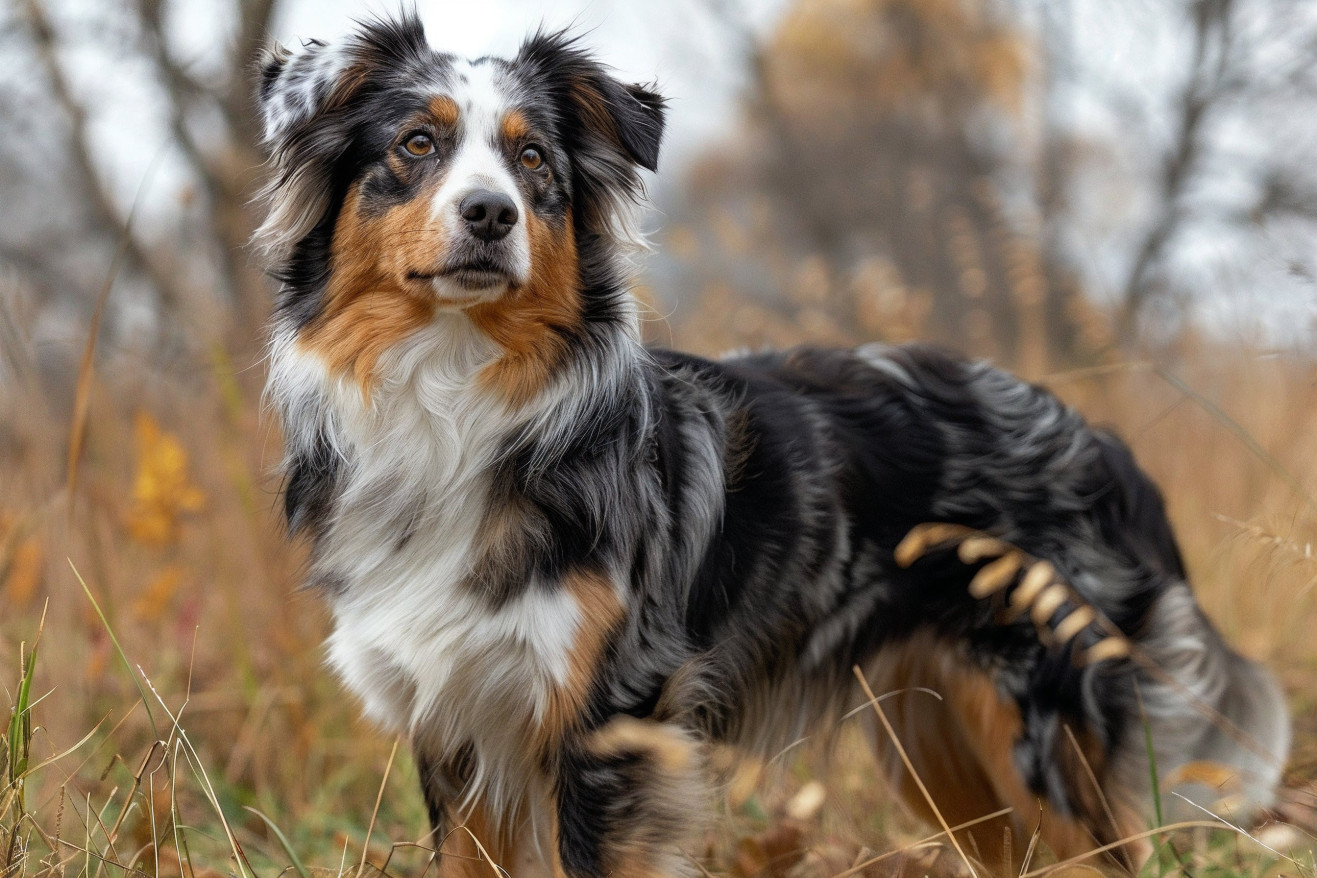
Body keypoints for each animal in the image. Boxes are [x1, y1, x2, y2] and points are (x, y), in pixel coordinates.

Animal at [254, 15, 1285, 878]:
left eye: (533, 159)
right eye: (415, 146)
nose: (490, 214)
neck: (455, 396)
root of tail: (1102, 442)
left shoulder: (610, 721)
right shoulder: (456, 727)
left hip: (1037, 734)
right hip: (945, 753)